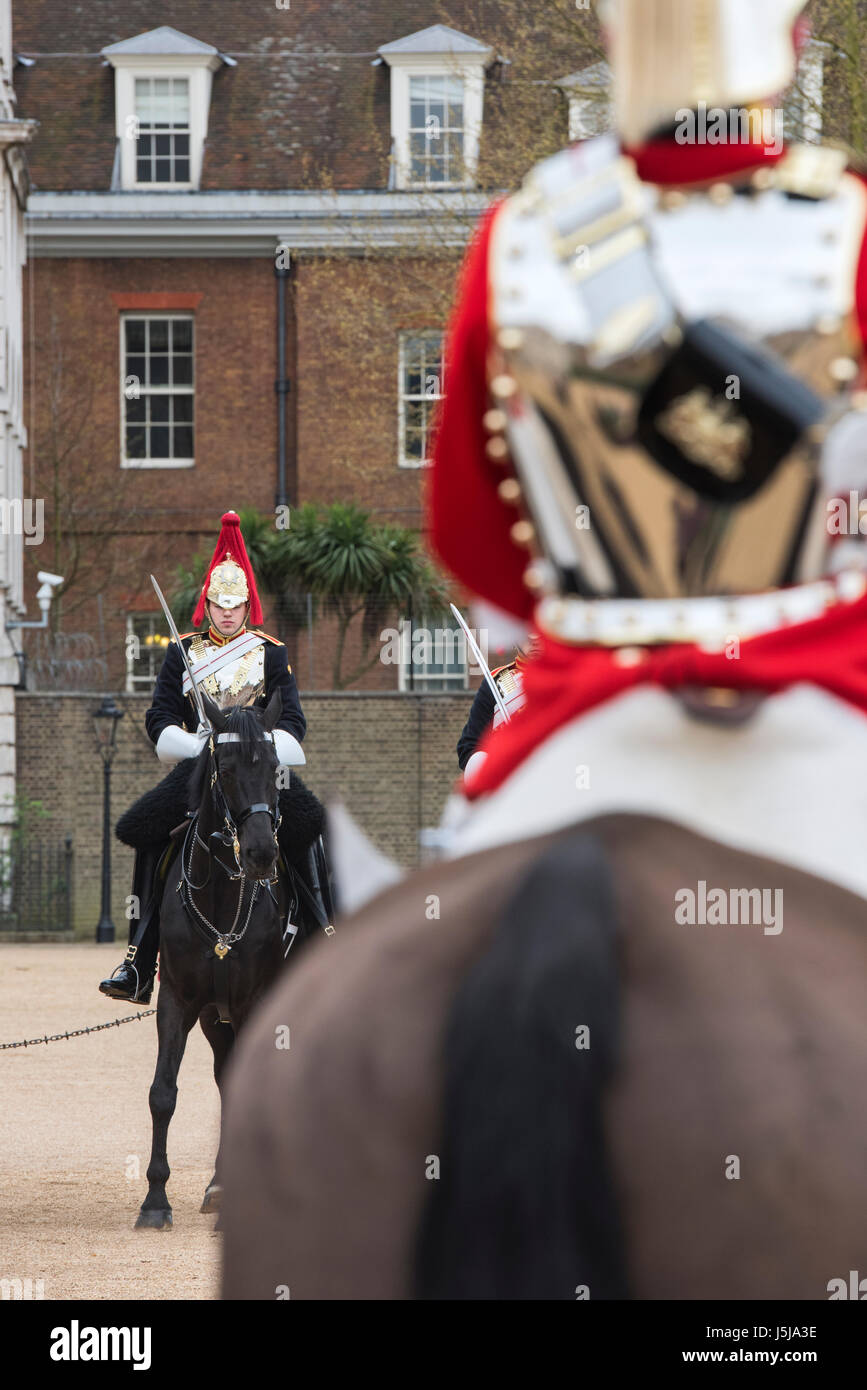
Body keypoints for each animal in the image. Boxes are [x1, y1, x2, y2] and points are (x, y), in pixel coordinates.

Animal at [134, 689, 297, 1234]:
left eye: (276, 768)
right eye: (223, 768)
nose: (261, 854)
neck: (224, 897)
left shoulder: (255, 1001)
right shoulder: (179, 1001)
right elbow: (163, 1092)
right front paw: (155, 1201)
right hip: (214, 1016)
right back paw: (221, 1186)